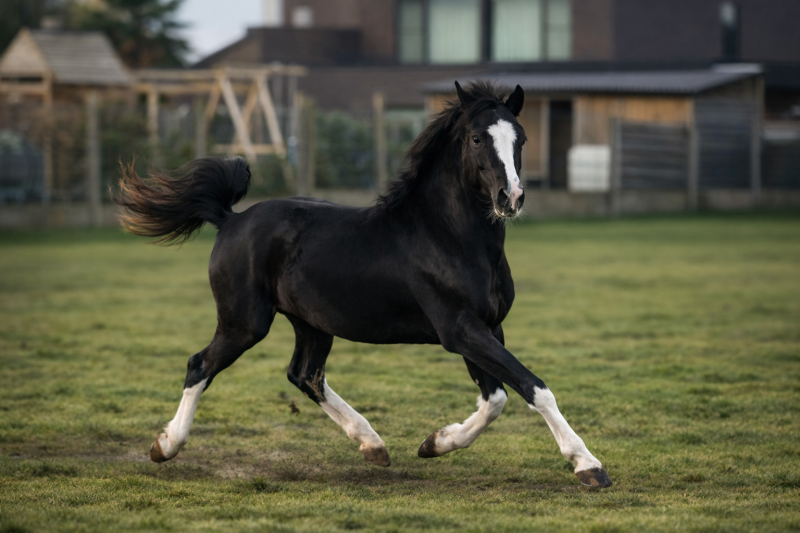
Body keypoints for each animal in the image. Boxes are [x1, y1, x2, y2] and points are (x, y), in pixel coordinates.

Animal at [113, 80, 612, 488]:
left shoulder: (488, 327)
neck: (448, 235)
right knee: (201, 364)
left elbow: (496, 399)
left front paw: (434, 443)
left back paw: (373, 444)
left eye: (520, 138)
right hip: (244, 322)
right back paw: (165, 446)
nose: (511, 198)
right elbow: (532, 387)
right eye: (476, 138)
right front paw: (588, 466)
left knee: (304, 374)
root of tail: (229, 219)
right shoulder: (459, 329)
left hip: (311, 323)